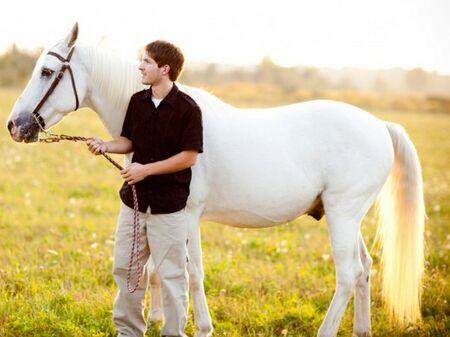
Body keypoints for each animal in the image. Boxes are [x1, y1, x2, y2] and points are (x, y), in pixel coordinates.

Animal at [7, 23, 426, 336]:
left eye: (46, 72)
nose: (14, 125)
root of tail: (379, 125)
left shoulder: (187, 216)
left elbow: (191, 274)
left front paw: (202, 327)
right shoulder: (154, 211)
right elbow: (153, 268)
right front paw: (156, 320)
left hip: (342, 215)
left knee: (347, 274)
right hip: (348, 217)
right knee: (365, 269)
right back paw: (361, 330)